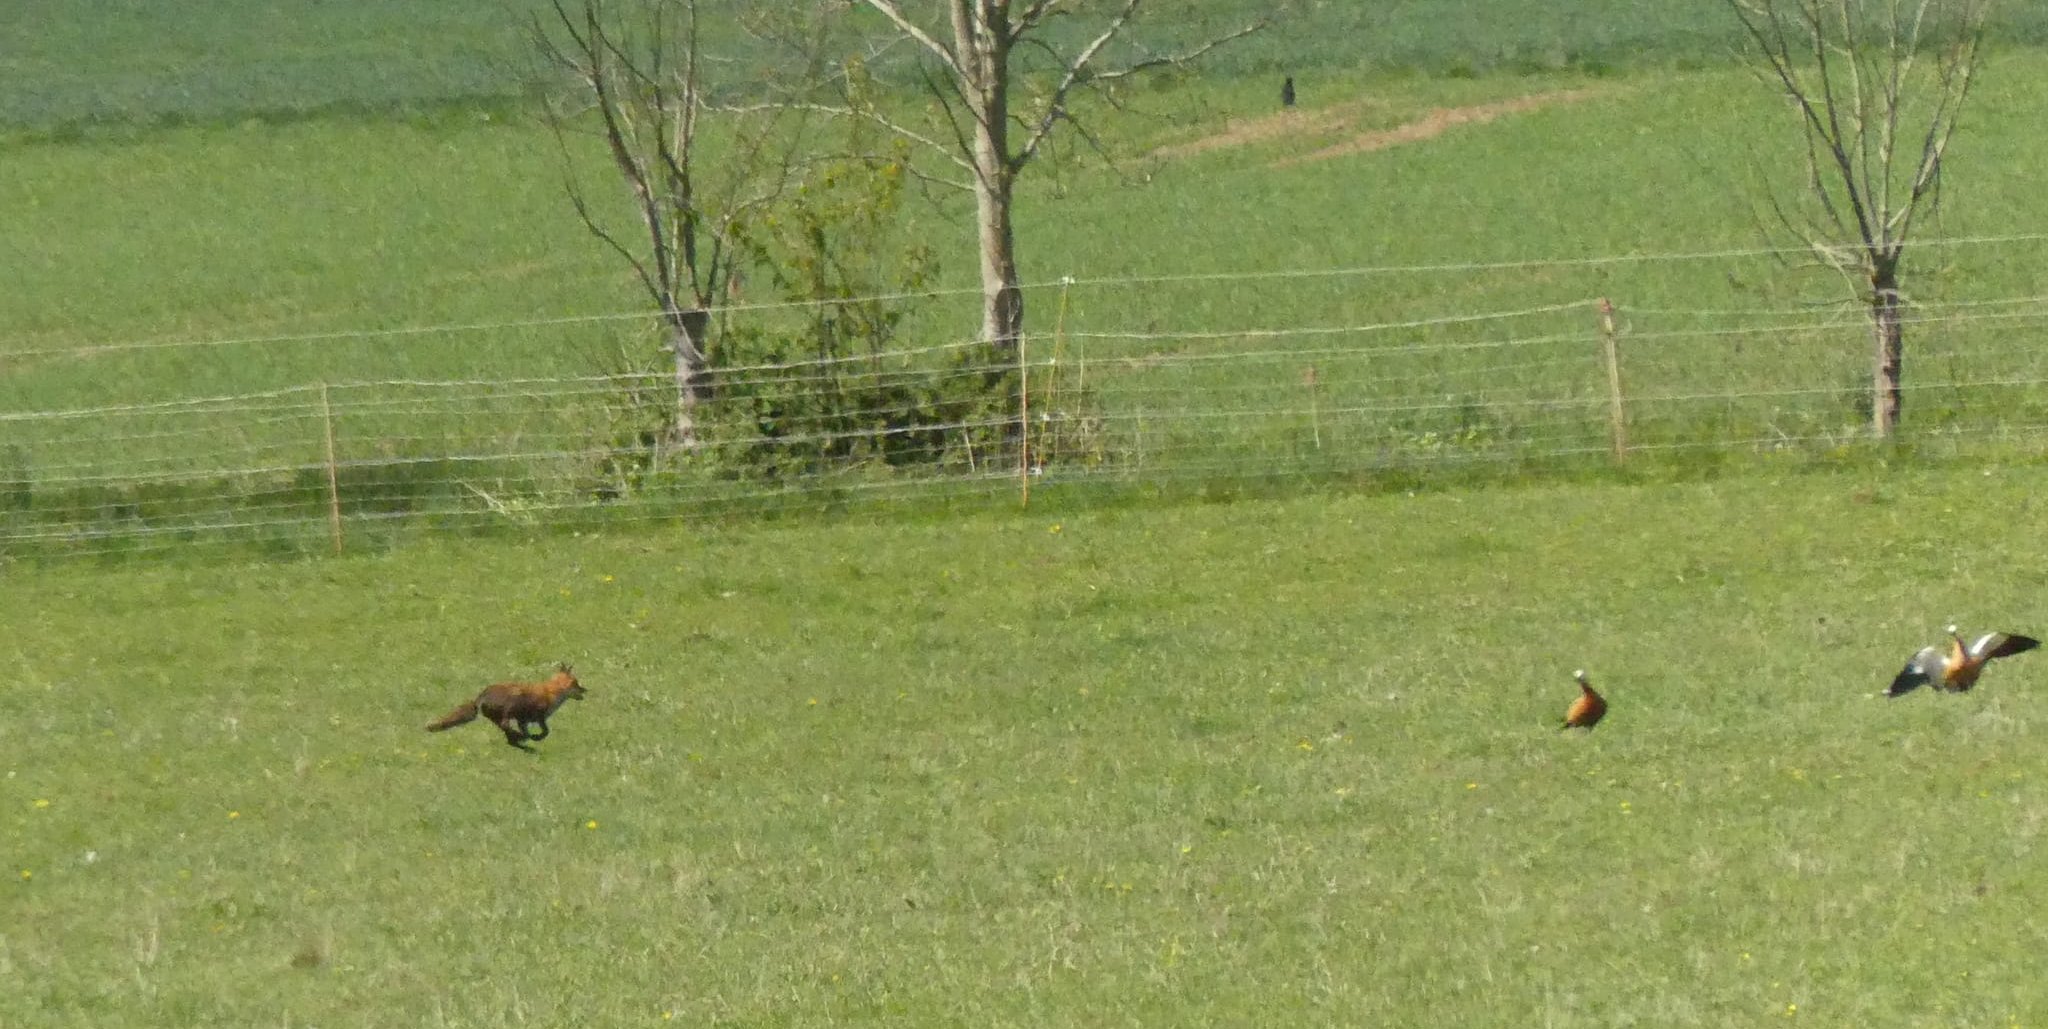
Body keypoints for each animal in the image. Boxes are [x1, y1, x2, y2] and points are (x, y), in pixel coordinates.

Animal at [426, 664, 587, 750]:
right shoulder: (537, 716)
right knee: (505, 725)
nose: (586, 690)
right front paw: (535, 737)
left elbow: (533, 732)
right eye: (576, 683)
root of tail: (482, 694)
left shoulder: (523, 720)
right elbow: (545, 732)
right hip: (511, 706)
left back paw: (518, 741)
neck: (552, 692)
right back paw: (519, 739)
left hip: (497, 716)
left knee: (506, 731)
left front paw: (528, 738)